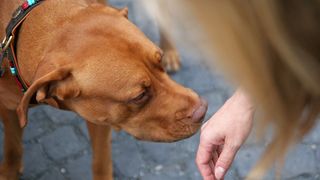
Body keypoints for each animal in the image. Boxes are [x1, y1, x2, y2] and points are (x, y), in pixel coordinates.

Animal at [0, 0, 208, 179]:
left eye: (160, 60)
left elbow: (101, 161)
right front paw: (9, 172)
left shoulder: (100, 120)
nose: (203, 110)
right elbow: (13, 146)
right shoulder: (8, 108)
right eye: (139, 96)